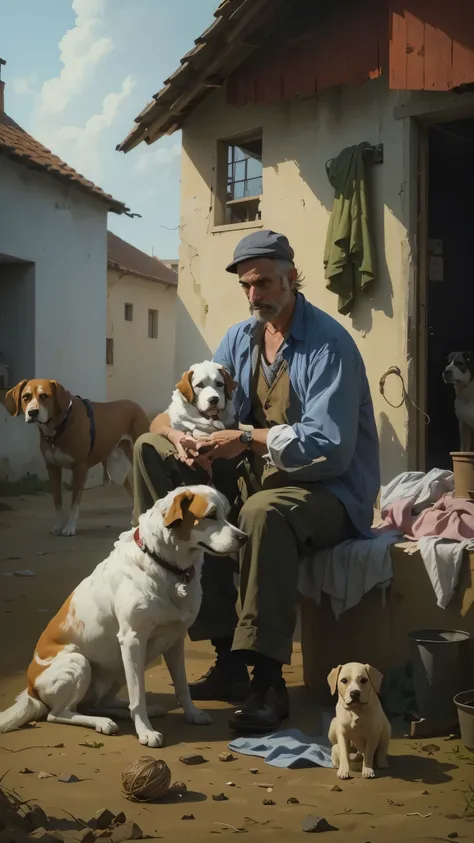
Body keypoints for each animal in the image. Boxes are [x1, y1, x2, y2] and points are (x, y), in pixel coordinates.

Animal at [0, 484, 246, 748]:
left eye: (227, 513)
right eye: (210, 515)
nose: (244, 537)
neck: (166, 565)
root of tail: (30, 690)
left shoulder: (175, 641)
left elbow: (182, 687)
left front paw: (192, 714)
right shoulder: (132, 640)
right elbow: (138, 696)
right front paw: (145, 732)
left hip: (116, 668)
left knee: (96, 704)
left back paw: (122, 712)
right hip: (78, 663)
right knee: (58, 713)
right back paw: (103, 722)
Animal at [5, 380, 149, 536]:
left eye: (44, 396)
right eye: (26, 397)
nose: (32, 412)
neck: (60, 426)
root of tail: (135, 405)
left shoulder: (80, 468)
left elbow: (74, 503)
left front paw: (69, 527)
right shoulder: (52, 468)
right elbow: (57, 501)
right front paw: (58, 526)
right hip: (116, 470)